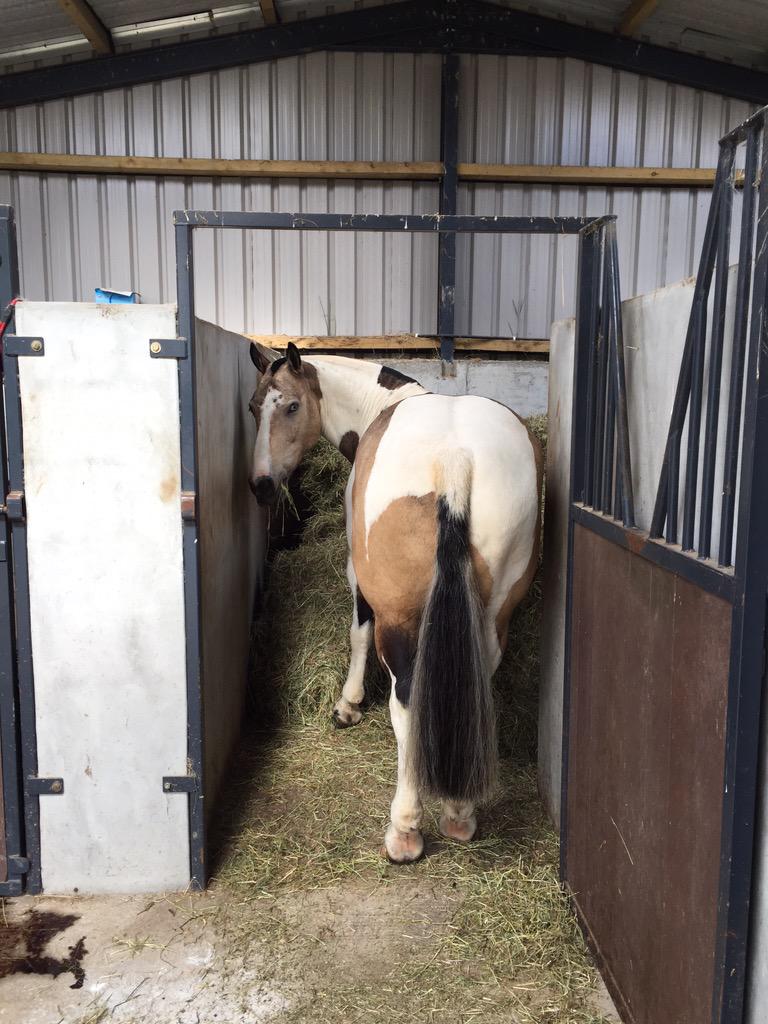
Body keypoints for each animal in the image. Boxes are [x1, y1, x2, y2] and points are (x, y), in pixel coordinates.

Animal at [248, 342, 542, 863]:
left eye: (292, 406)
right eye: (252, 408)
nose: (261, 484)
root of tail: (455, 457)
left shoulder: (359, 577)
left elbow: (359, 633)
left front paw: (348, 705)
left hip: (401, 617)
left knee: (406, 699)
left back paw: (404, 830)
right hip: (492, 617)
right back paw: (459, 812)